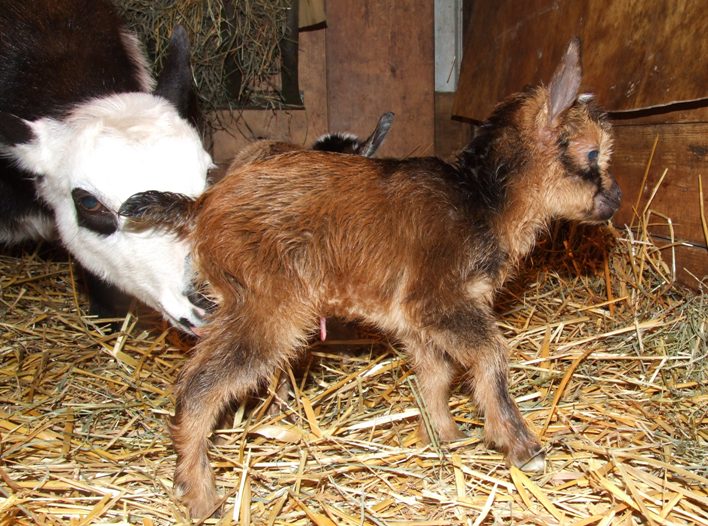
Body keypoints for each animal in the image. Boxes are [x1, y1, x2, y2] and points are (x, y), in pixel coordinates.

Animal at [121, 39, 621, 517]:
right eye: (592, 152)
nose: (615, 198)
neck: (480, 203)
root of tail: (201, 206)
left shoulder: (415, 319)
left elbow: (436, 374)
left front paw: (444, 437)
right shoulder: (438, 299)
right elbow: (490, 357)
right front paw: (520, 445)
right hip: (267, 303)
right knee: (198, 388)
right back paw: (201, 496)